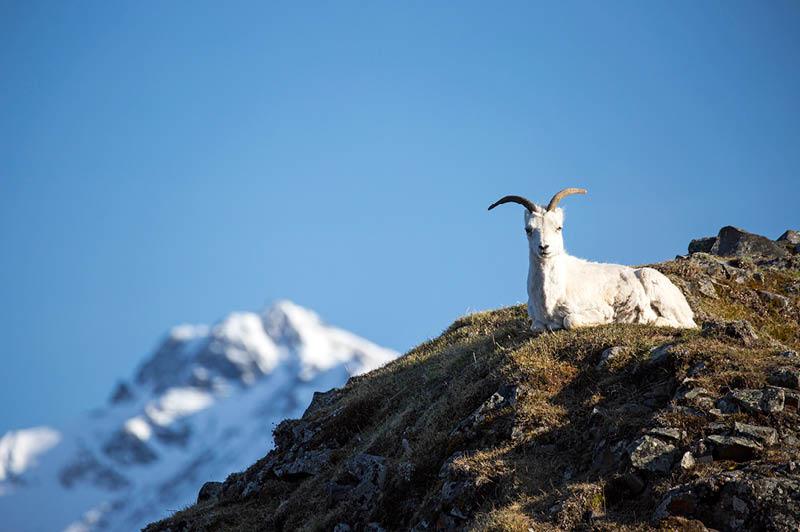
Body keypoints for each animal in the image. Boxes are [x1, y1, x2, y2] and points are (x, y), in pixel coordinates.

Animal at [488, 188, 697, 332]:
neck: (551, 296)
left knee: (686, 324)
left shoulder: (596, 310)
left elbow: (570, 320)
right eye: (528, 229)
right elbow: (537, 327)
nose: (544, 247)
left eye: (559, 227)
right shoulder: (537, 323)